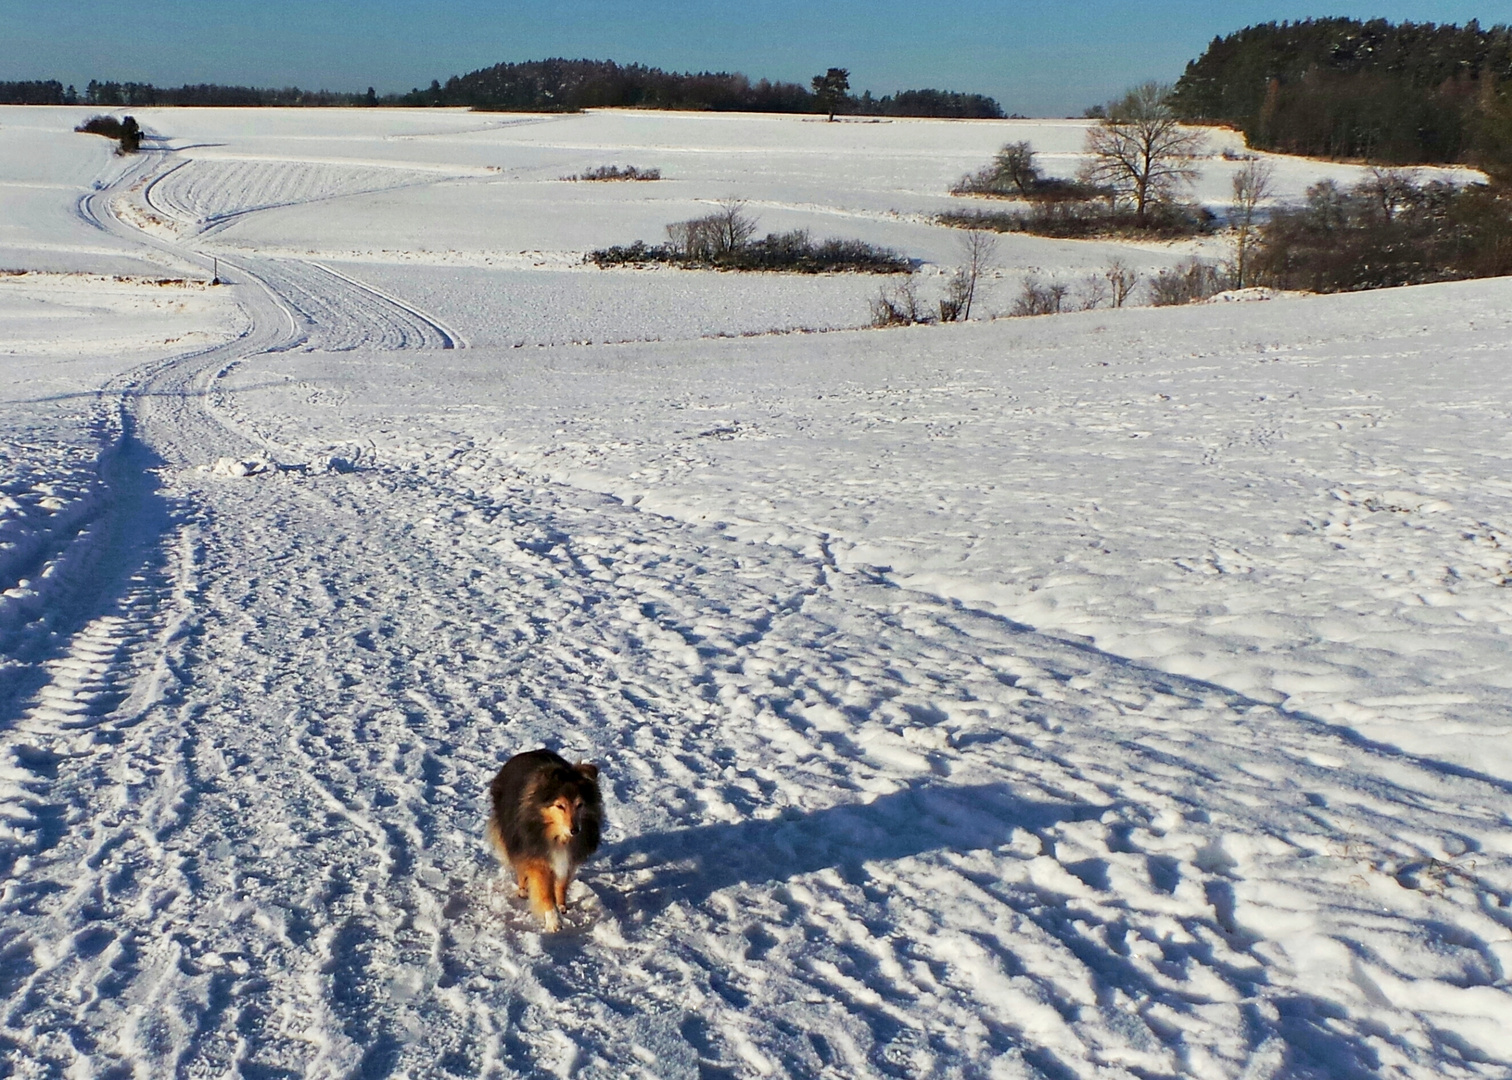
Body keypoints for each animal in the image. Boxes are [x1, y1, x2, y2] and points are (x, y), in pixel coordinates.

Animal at [483, 744, 601, 931]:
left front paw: (562, 905)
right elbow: (544, 891)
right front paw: (554, 921)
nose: (575, 830)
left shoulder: (568, 858)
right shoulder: (537, 857)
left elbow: (562, 883)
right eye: (560, 806)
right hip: (513, 836)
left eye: (580, 805)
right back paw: (523, 890)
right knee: (520, 866)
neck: (558, 837)